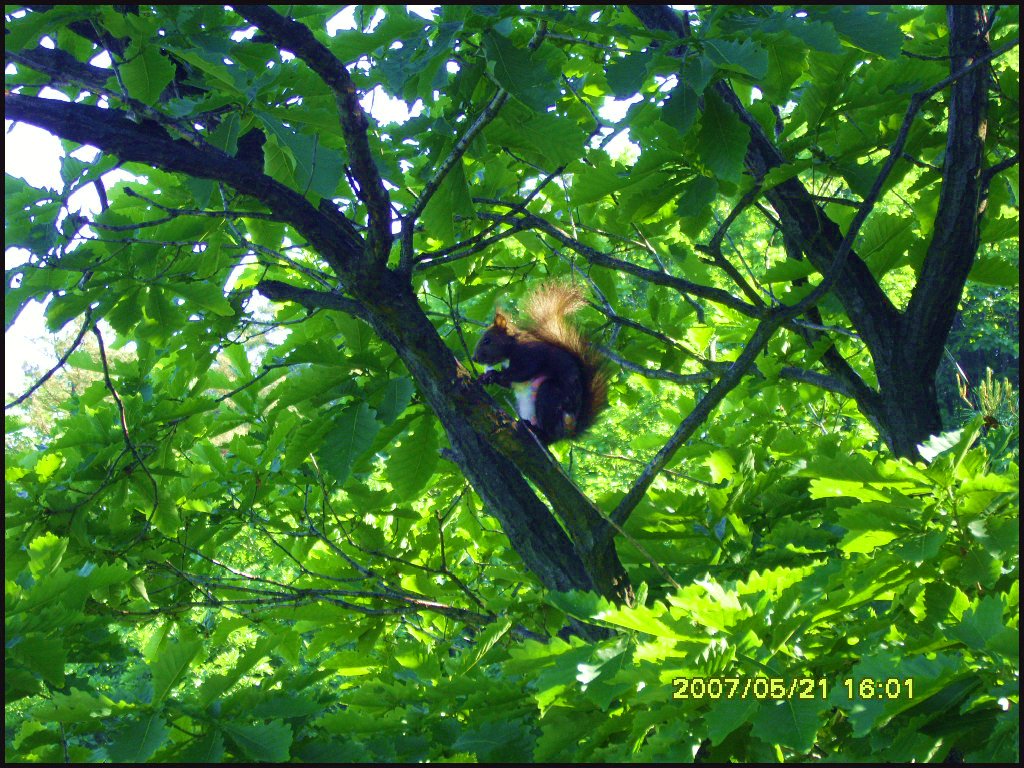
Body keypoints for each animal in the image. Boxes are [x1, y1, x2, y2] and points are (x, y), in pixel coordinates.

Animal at [473, 282, 606, 444]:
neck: (512, 347)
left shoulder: (532, 354)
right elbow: (509, 382)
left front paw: (494, 375)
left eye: (487, 340)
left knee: (549, 432)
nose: (474, 358)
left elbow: (522, 372)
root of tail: (569, 430)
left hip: (550, 394)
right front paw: (485, 377)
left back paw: (538, 432)